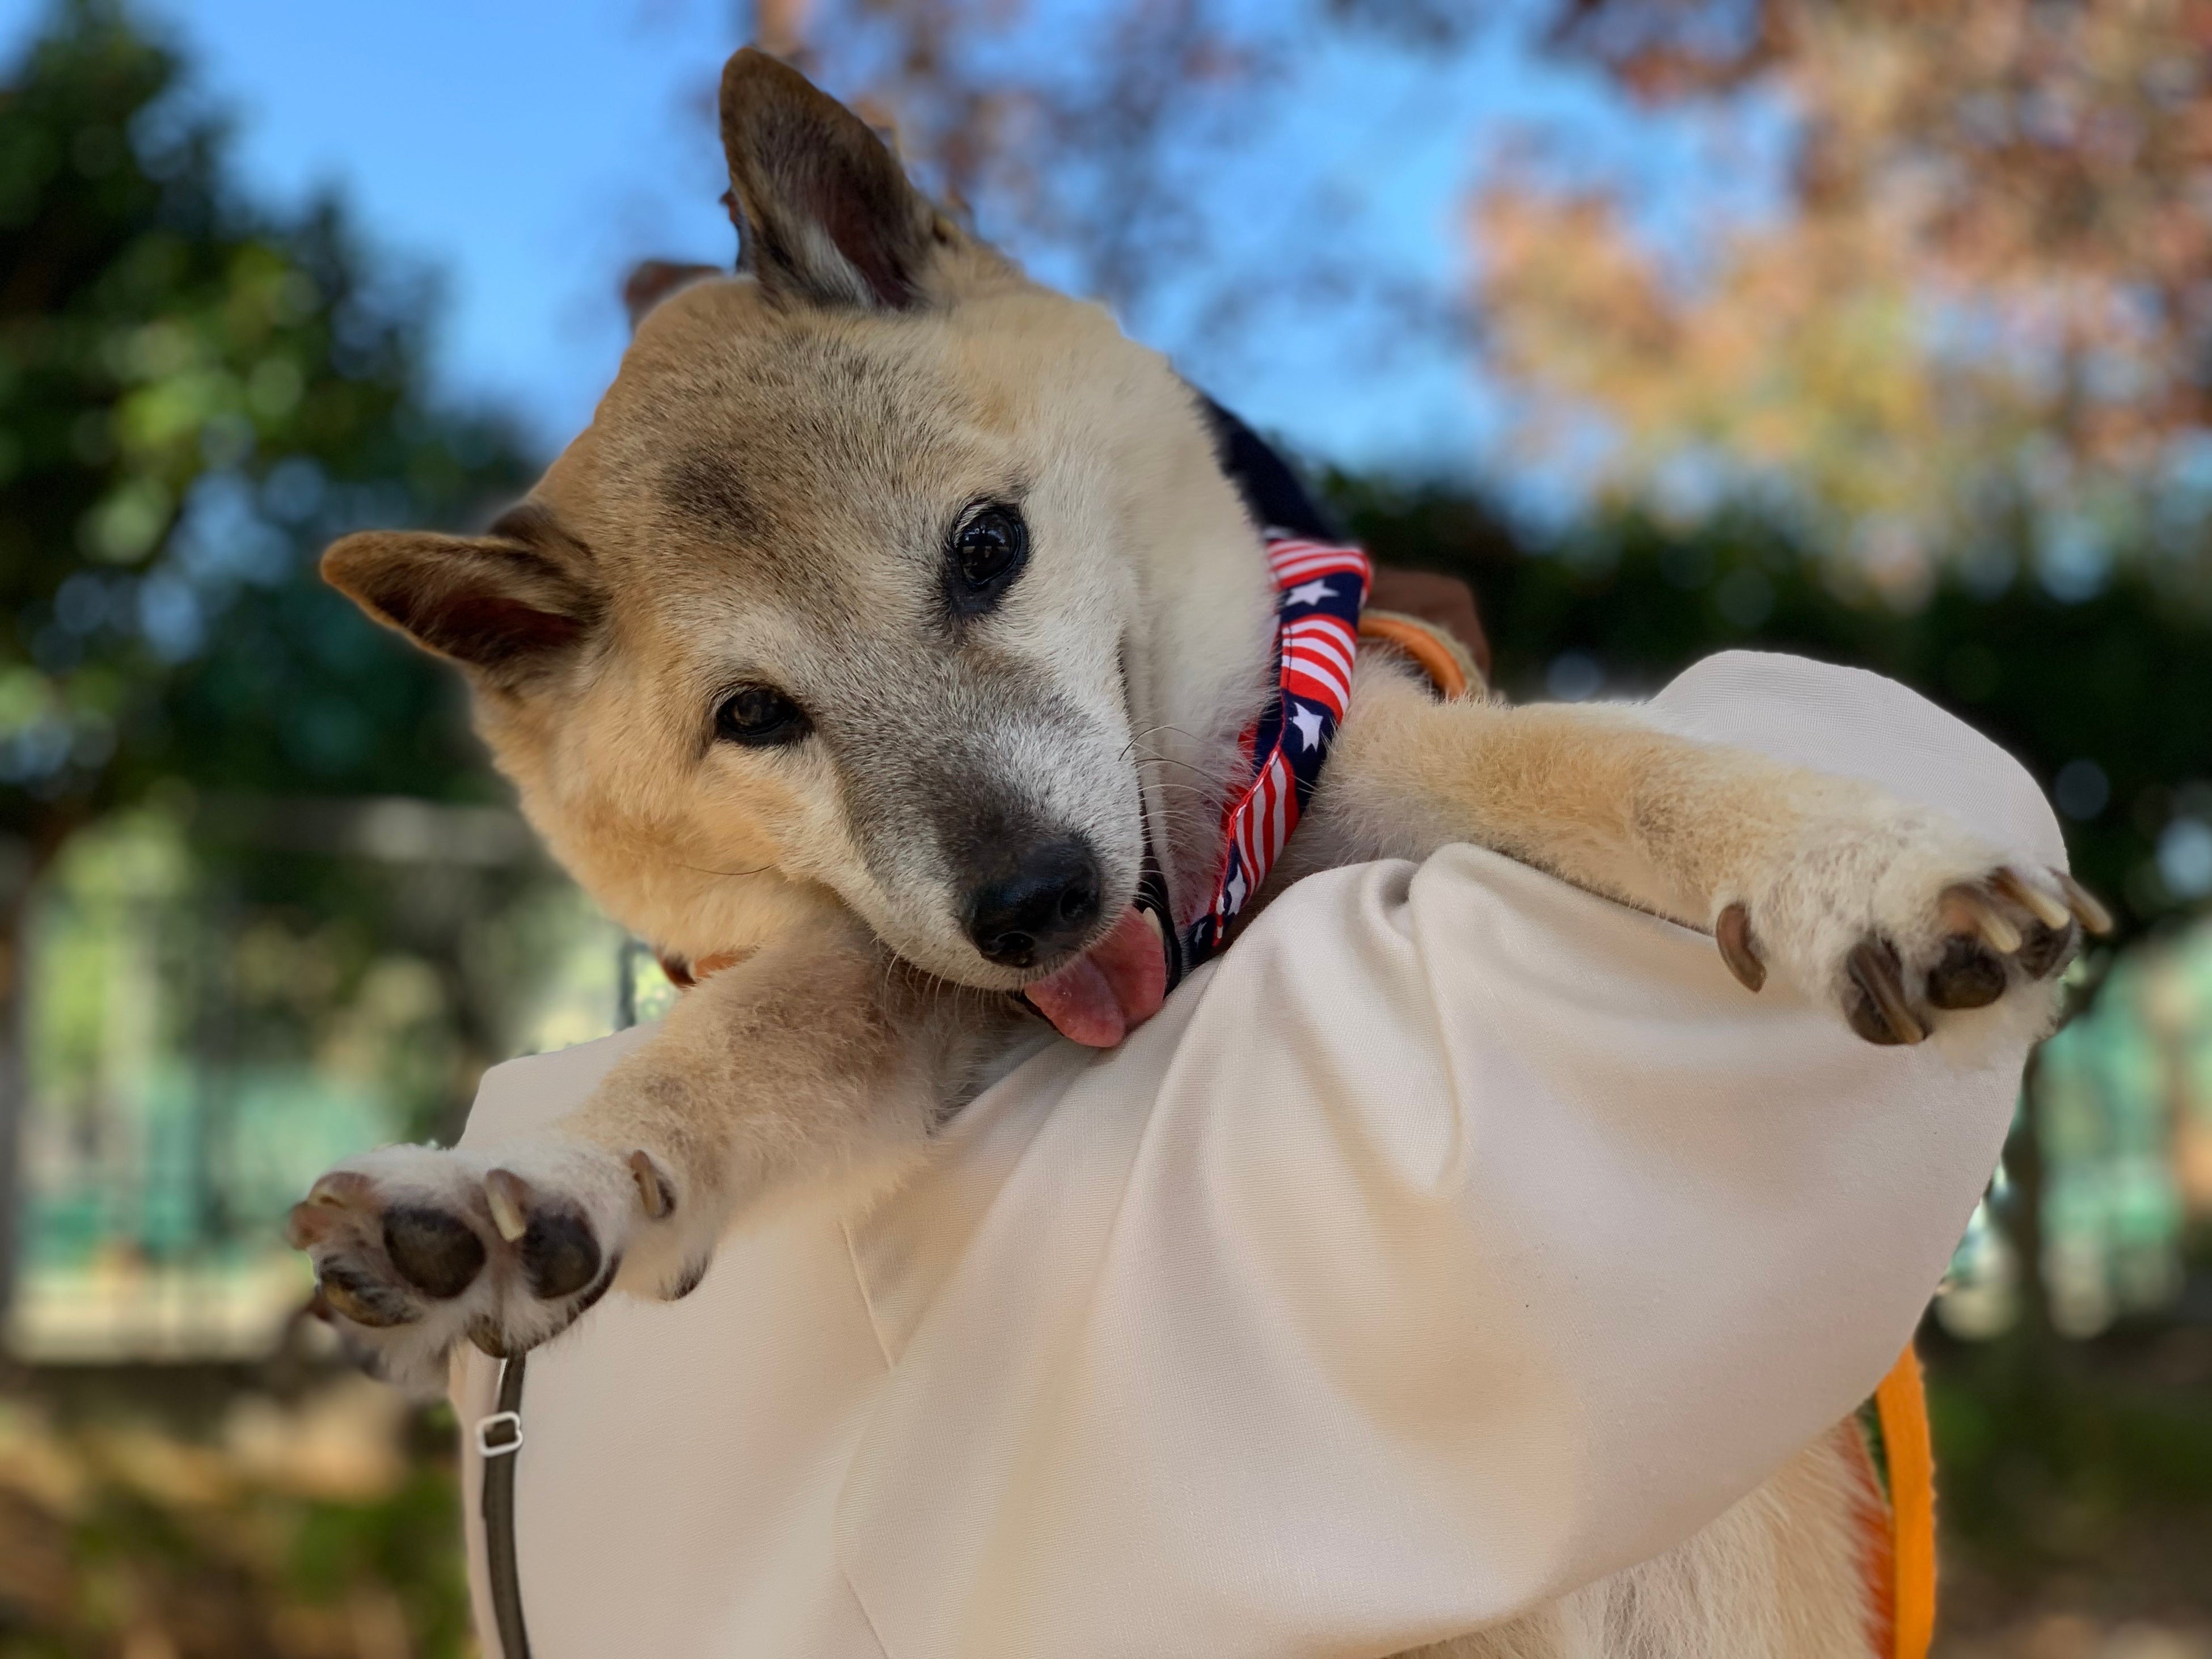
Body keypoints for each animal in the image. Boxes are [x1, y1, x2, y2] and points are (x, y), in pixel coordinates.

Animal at [285, 48, 2097, 1659]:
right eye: (750, 714)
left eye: (987, 548)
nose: (1033, 903)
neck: (1214, 906)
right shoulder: (900, 982)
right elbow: (722, 1061)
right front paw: (523, 1195)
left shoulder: (1386, 766)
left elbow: (1620, 765)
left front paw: (1859, 863)